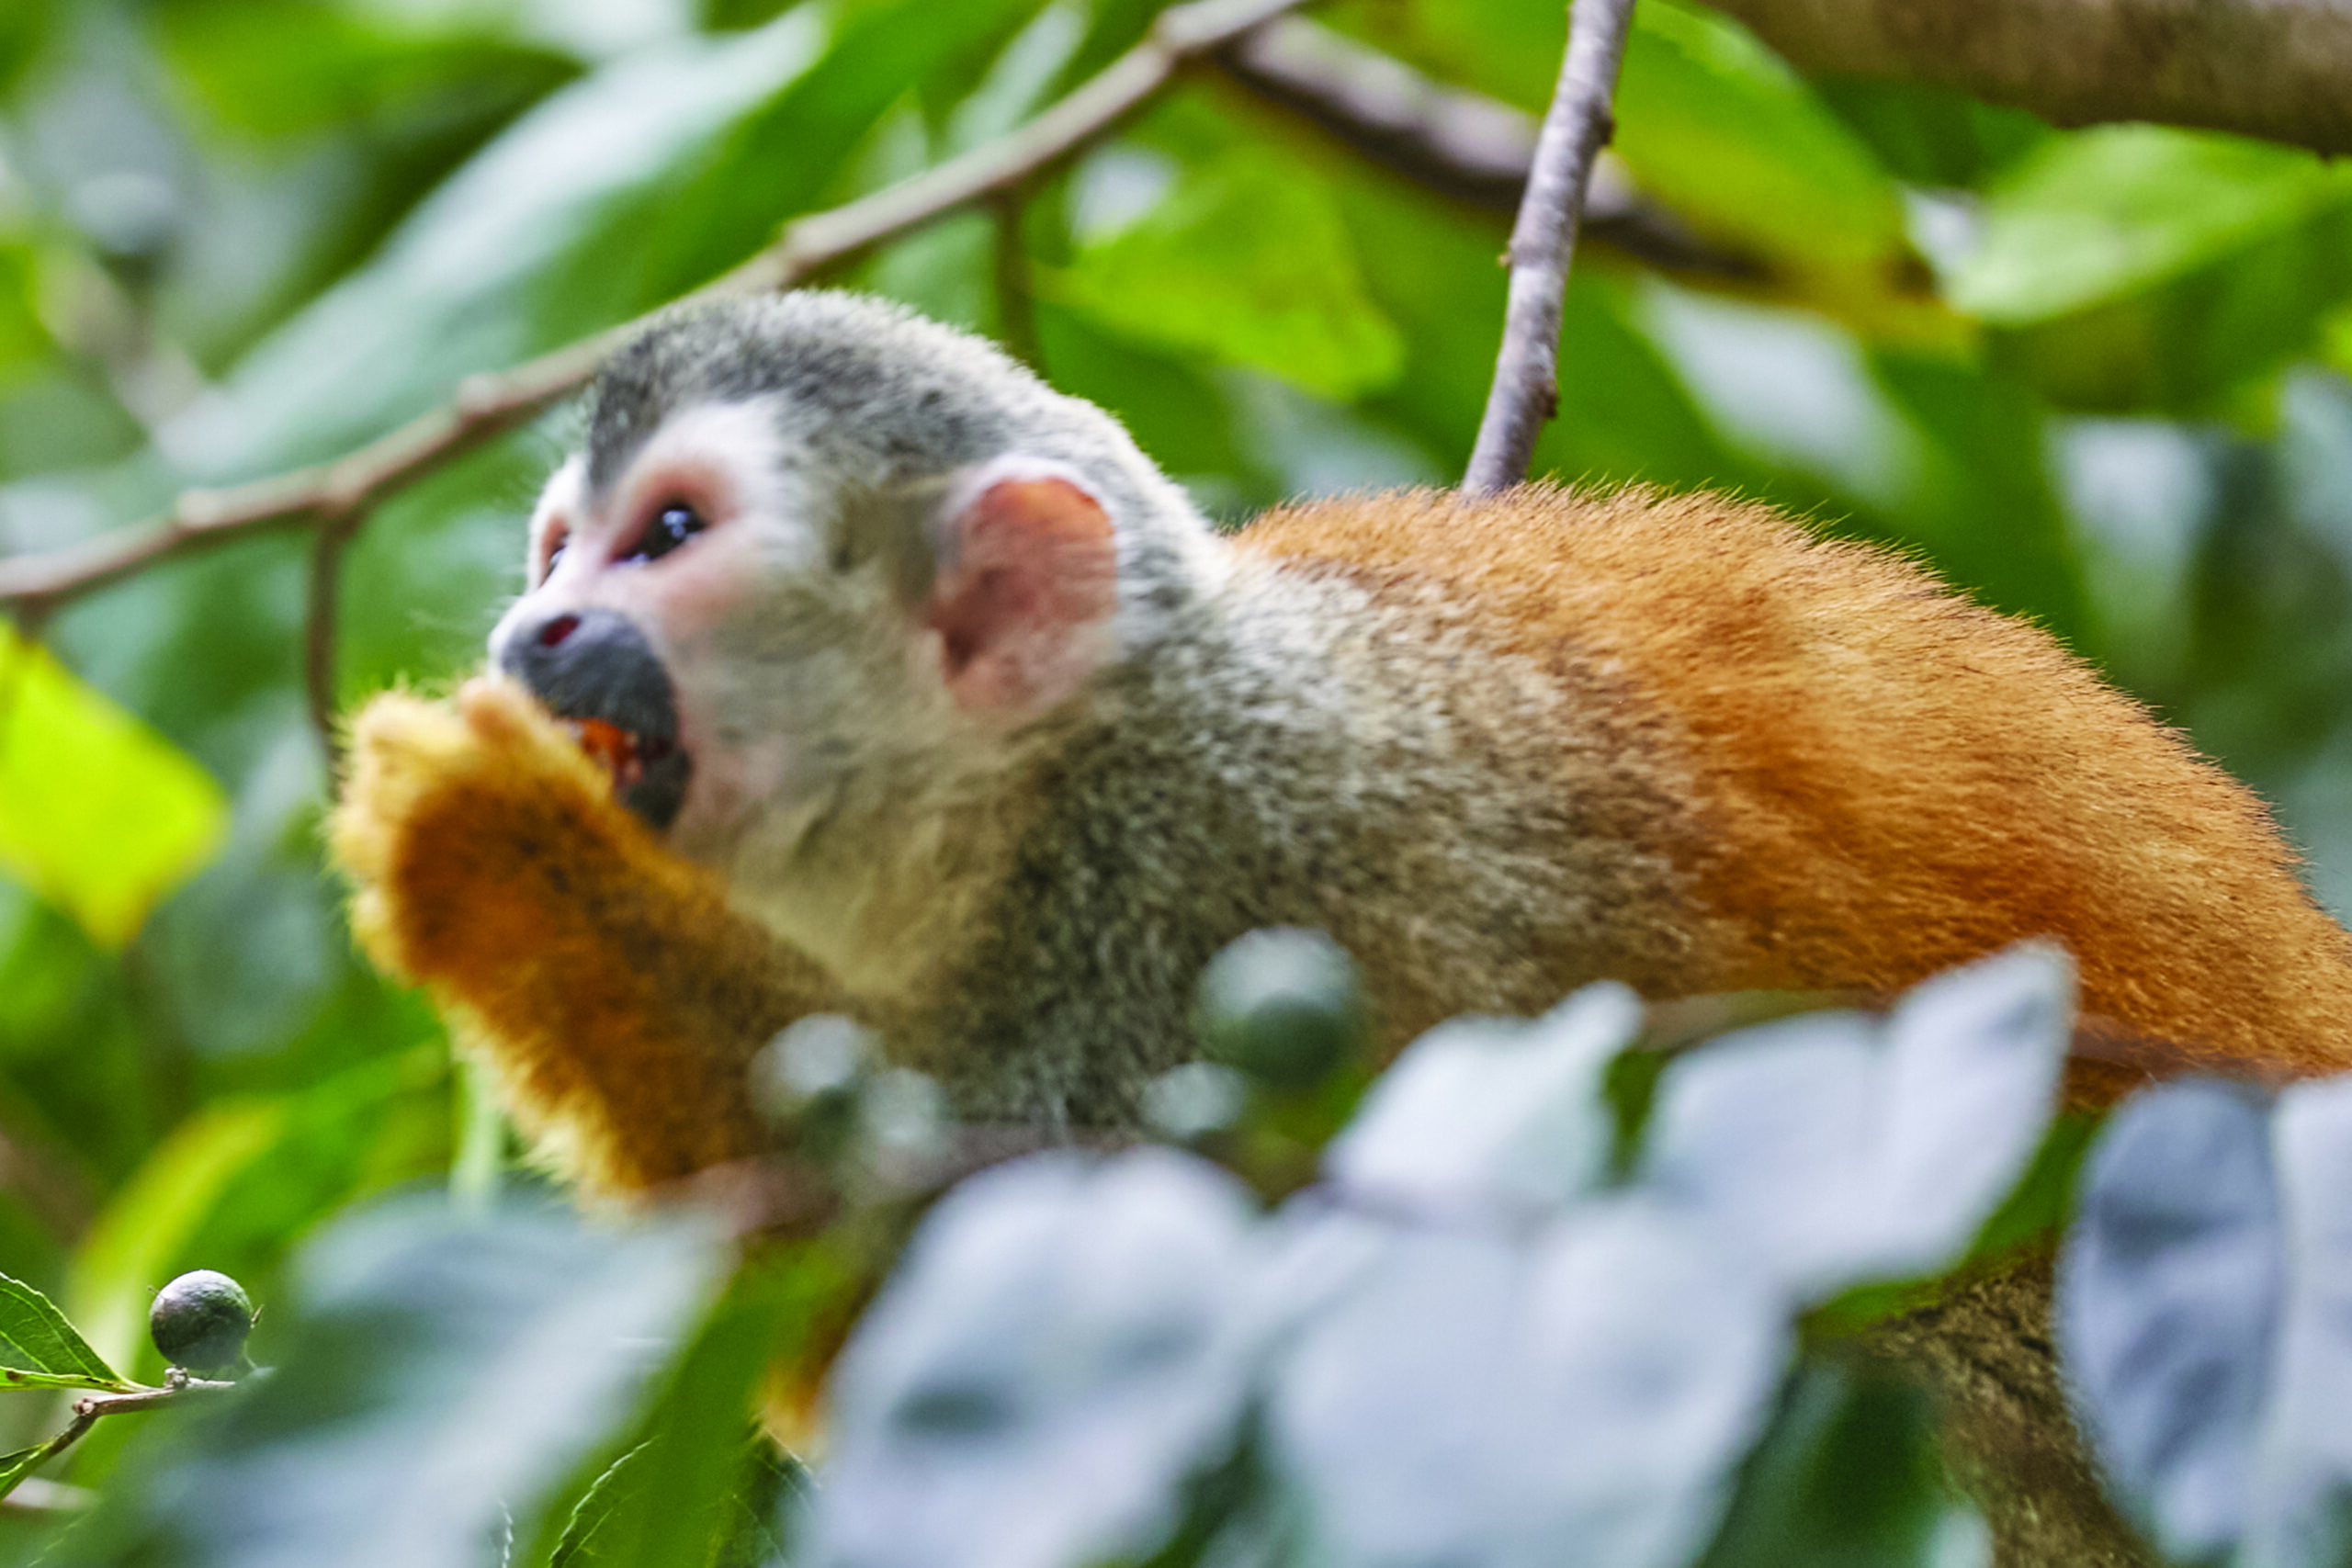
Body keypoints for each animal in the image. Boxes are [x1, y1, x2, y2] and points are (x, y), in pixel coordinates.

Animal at [331, 290, 2352, 1566]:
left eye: (665, 538)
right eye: (557, 550)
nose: (536, 632)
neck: (1082, 769)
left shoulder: (1245, 888)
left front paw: (481, 836)